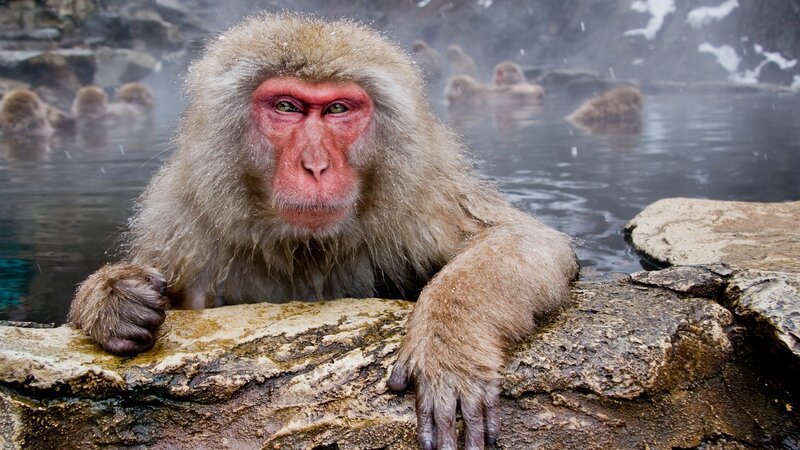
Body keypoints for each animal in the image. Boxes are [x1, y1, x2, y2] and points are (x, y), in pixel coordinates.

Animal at [67, 14, 578, 450]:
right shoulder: (182, 226)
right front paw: (112, 298)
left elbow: (523, 239)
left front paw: (447, 347)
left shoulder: (420, 196)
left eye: (336, 109)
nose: (315, 165)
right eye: (287, 107)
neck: (305, 247)